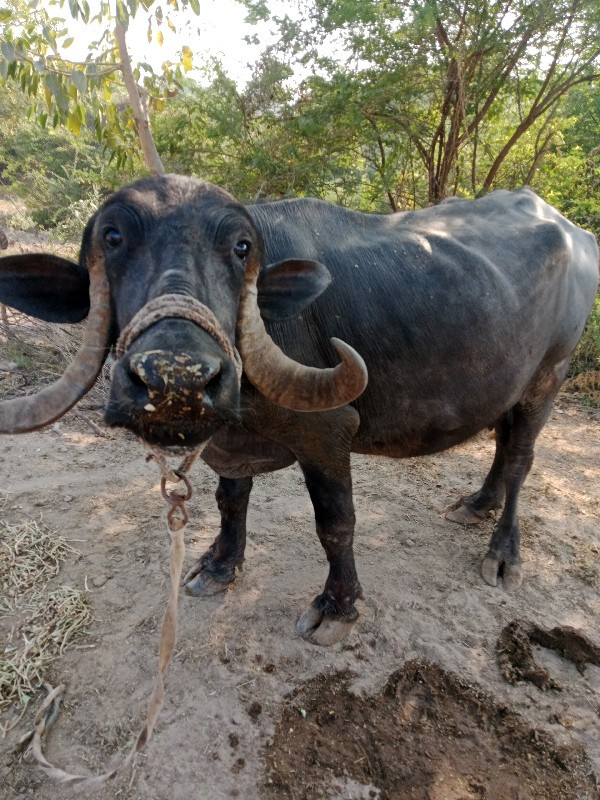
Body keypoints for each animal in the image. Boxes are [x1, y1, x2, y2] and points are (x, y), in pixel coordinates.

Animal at [0, 175, 596, 644]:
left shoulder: (327, 434)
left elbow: (335, 523)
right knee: (502, 439)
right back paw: (477, 504)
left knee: (520, 458)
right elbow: (229, 501)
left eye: (241, 247)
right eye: (113, 238)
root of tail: (572, 231)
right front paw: (219, 567)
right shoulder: (233, 441)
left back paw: (503, 553)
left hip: (551, 374)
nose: (177, 378)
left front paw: (339, 607)